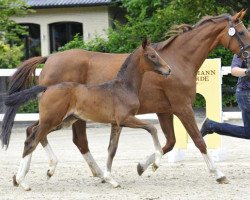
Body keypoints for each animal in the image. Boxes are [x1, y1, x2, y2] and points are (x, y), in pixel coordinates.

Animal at [3, 39, 171, 191]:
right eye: (152, 55)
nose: (168, 70)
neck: (124, 87)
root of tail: (46, 88)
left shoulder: (116, 124)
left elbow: (112, 149)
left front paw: (111, 179)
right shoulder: (125, 119)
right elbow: (151, 128)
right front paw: (156, 163)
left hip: (62, 121)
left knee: (34, 134)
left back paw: (35, 174)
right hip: (52, 120)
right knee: (32, 141)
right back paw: (23, 181)